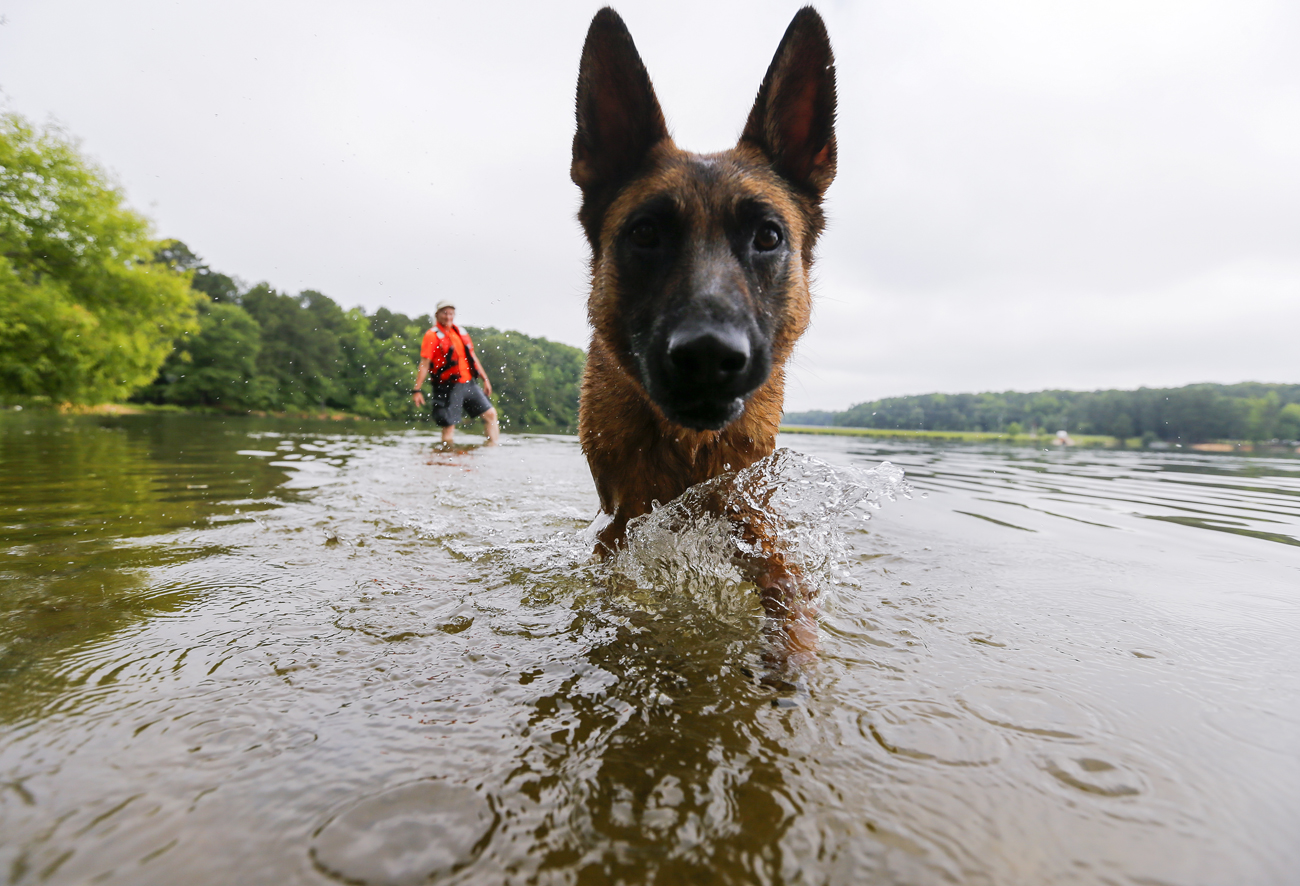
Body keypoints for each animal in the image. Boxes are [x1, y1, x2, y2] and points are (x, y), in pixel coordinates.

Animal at [572, 6, 837, 649]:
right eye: (646, 233)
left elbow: (784, 582)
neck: (684, 446)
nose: (709, 356)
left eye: (768, 236)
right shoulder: (621, 522)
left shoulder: (742, 505)